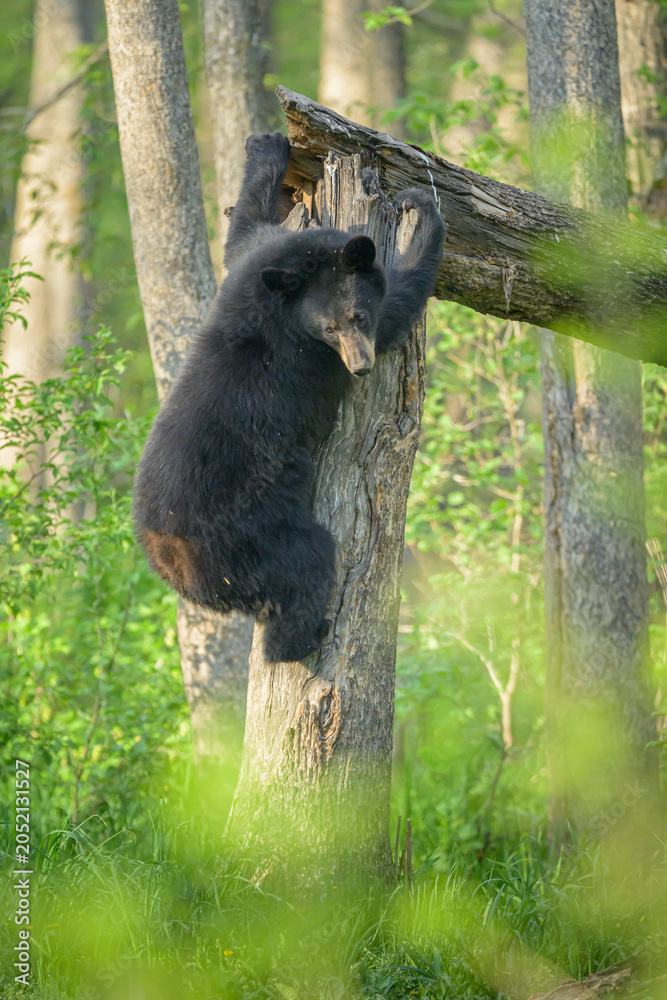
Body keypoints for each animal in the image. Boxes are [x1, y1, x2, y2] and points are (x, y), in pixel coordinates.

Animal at [133, 131, 446, 664]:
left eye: (356, 316)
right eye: (331, 327)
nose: (360, 366)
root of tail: (173, 564)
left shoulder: (256, 264)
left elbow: (243, 230)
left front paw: (267, 147)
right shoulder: (308, 353)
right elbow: (401, 303)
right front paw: (423, 213)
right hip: (255, 536)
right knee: (307, 563)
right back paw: (307, 635)